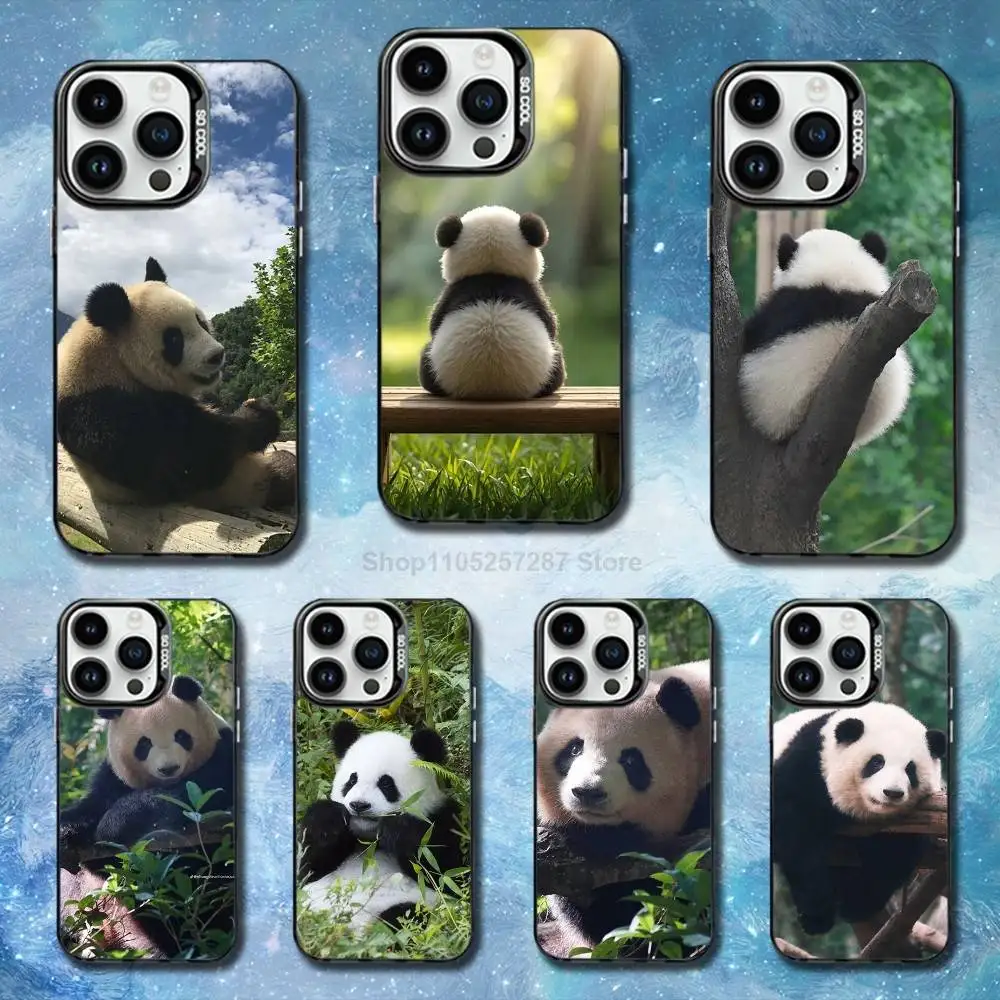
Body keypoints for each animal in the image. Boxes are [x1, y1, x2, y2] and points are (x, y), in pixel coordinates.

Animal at [57, 256, 296, 511]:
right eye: (174, 339)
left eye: (201, 322)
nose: (217, 355)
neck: (112, 359)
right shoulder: (104, 409)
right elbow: (186, 459)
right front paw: (258, 414)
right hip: (247, 484)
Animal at [59, 674, 235, 854]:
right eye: (144, 744)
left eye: (180, 736)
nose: (169, 769)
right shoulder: (114, 776)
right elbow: (94, 803)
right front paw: (66, 829)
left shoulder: (223, 754)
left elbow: (197, 790)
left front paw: (115, 823)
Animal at [298, 719, 464, 933]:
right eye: (352, 780)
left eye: (386, 784)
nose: (359, 805)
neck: (369, 840)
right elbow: (308, 870)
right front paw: (330, 818)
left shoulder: (442, 819)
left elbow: (446, 875)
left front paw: (397, 829)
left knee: (406, 916)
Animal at [772, 702, 946, 938]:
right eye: (877, 762)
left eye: (910, 769)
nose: (892, 793)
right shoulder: (806, 768)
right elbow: (797, 836)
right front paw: (816, 916)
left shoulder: (913, 819)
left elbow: (894, 854)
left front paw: (858, 905)